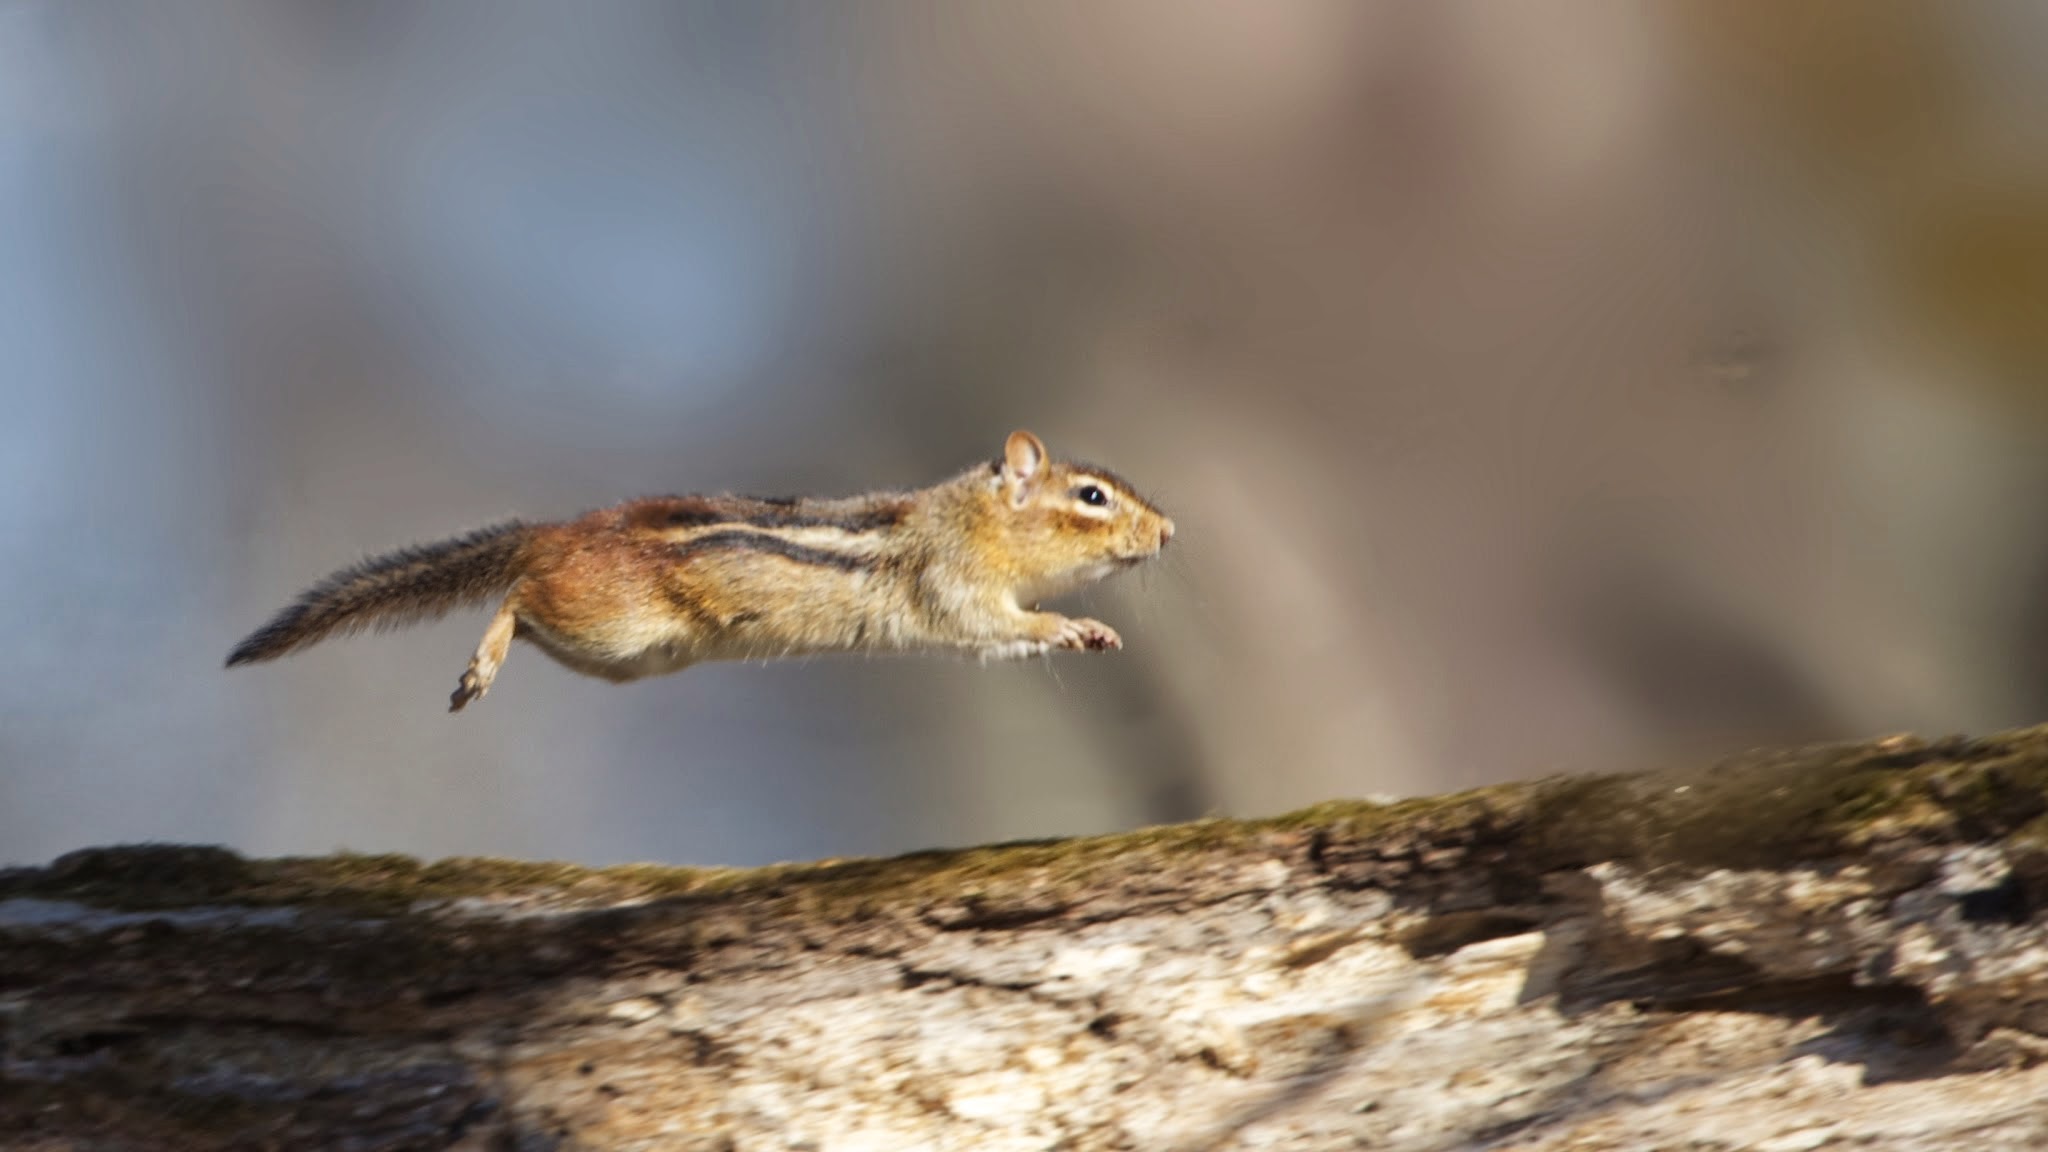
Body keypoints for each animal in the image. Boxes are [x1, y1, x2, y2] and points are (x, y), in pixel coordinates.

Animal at [227, 430, 1175, 712]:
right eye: (1092, 497)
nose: (1168, 531)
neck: (966, 516)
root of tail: (555, 532)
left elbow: (1005, 641)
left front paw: (1090, 631)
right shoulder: (954, 585)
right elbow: (997, 624)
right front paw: (1068, 621)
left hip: (618, 655)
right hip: (607, 624)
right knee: (517, 599)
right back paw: (480, 666)